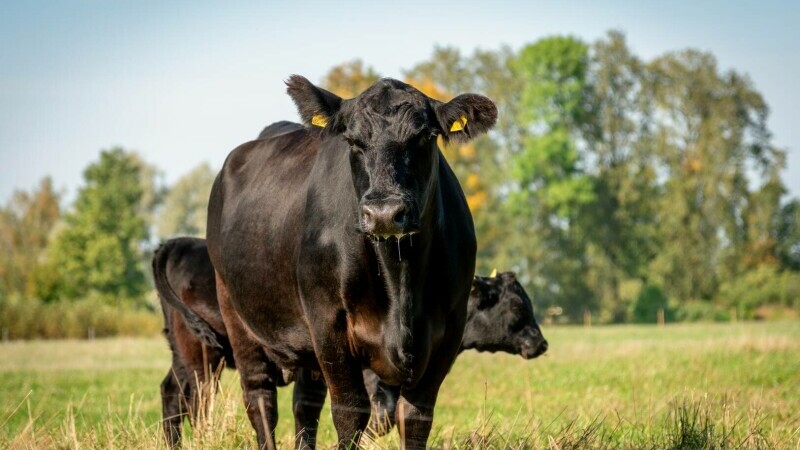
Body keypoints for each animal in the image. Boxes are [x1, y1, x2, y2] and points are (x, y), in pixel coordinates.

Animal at [153, 237, 547, 446]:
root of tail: (180, 243)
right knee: (198, 401)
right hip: (202, 353)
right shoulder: (372, 375)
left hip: (182, 352)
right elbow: (379, 416)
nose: (541, 344)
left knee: (171, 392)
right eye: (516, 307)